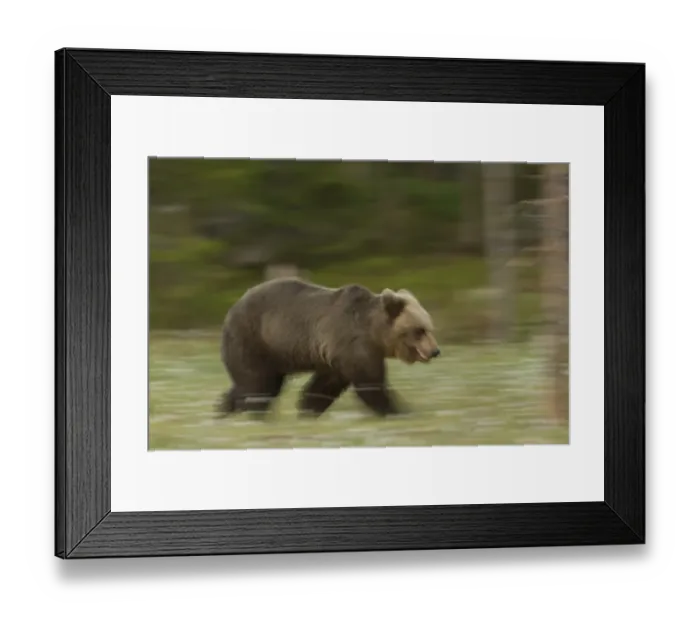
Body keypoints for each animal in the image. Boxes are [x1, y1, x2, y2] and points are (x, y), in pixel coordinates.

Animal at [215, 277, 440, 419]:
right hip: (253, 339)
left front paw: (307, 410)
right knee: (258, 384)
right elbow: (371, 384)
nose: (435, 351)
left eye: (430, 328)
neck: (374, 332)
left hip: (272, 353)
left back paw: (222, 412)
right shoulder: (353, 345)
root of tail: (231, 309)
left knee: (252, 384)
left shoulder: (334, 357)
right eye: (419, 330)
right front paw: (402, 412)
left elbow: (322, 388)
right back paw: (254, 414)